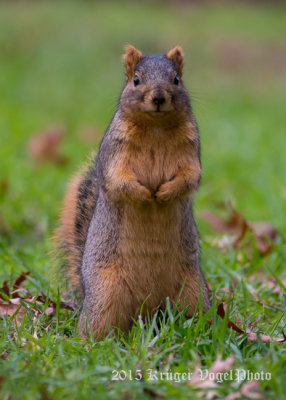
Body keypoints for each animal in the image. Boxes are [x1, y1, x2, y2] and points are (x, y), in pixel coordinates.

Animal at [57, 45, 211, 340]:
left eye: (176, 79)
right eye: (136, 80)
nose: (159, 97)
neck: (156, 127)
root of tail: (147, 310)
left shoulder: (191, 152)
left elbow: (189, 178)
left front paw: (163, 193)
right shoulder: (115, 153)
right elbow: (118, 179)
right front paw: (145, 195)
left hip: (194, 292)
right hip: (105, 295)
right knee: (98, 324)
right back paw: (90, 343)